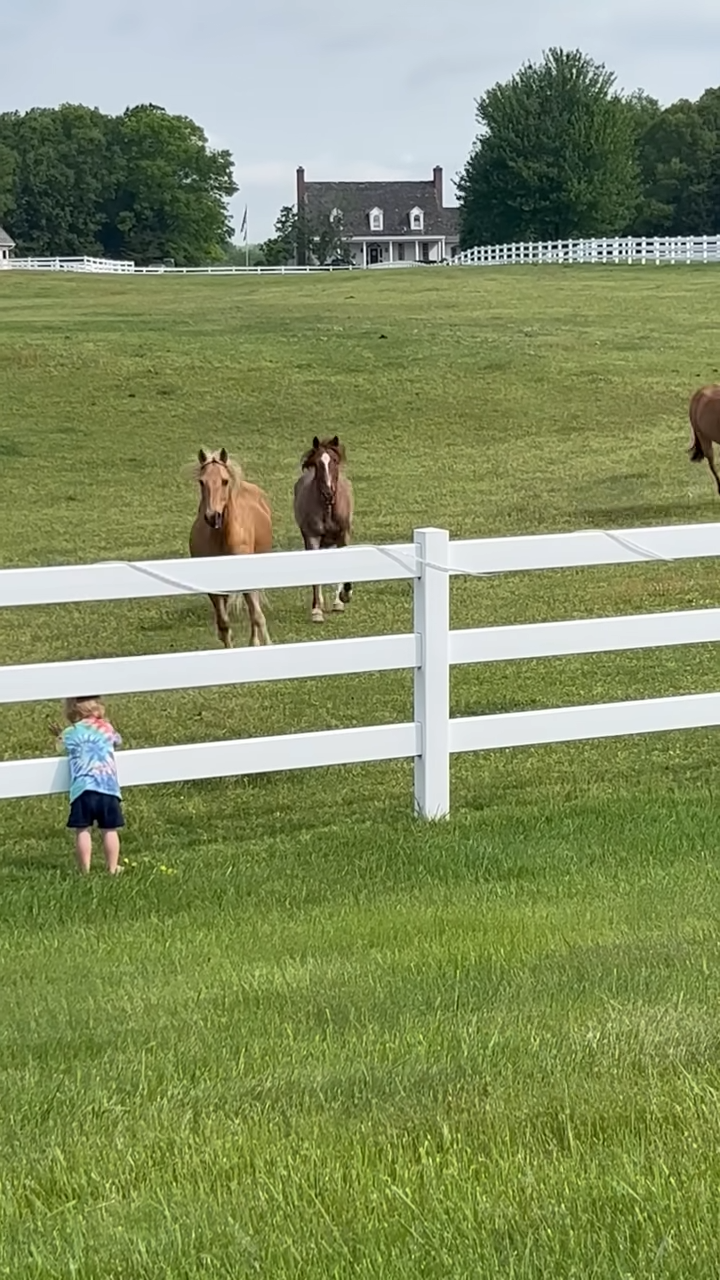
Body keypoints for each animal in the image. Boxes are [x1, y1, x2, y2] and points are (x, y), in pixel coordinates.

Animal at [188, 450, 271, 650]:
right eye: (201, 481)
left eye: (225, 481)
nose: (213, 516)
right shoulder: (214, 588)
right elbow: (224, 624)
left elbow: (257, 616)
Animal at [288, 435, 351, 624]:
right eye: (317, 463)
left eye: (335, 461)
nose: (328, 493)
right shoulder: (313, 538)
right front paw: (316, 611)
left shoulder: (343, 536)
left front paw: (343, 598)